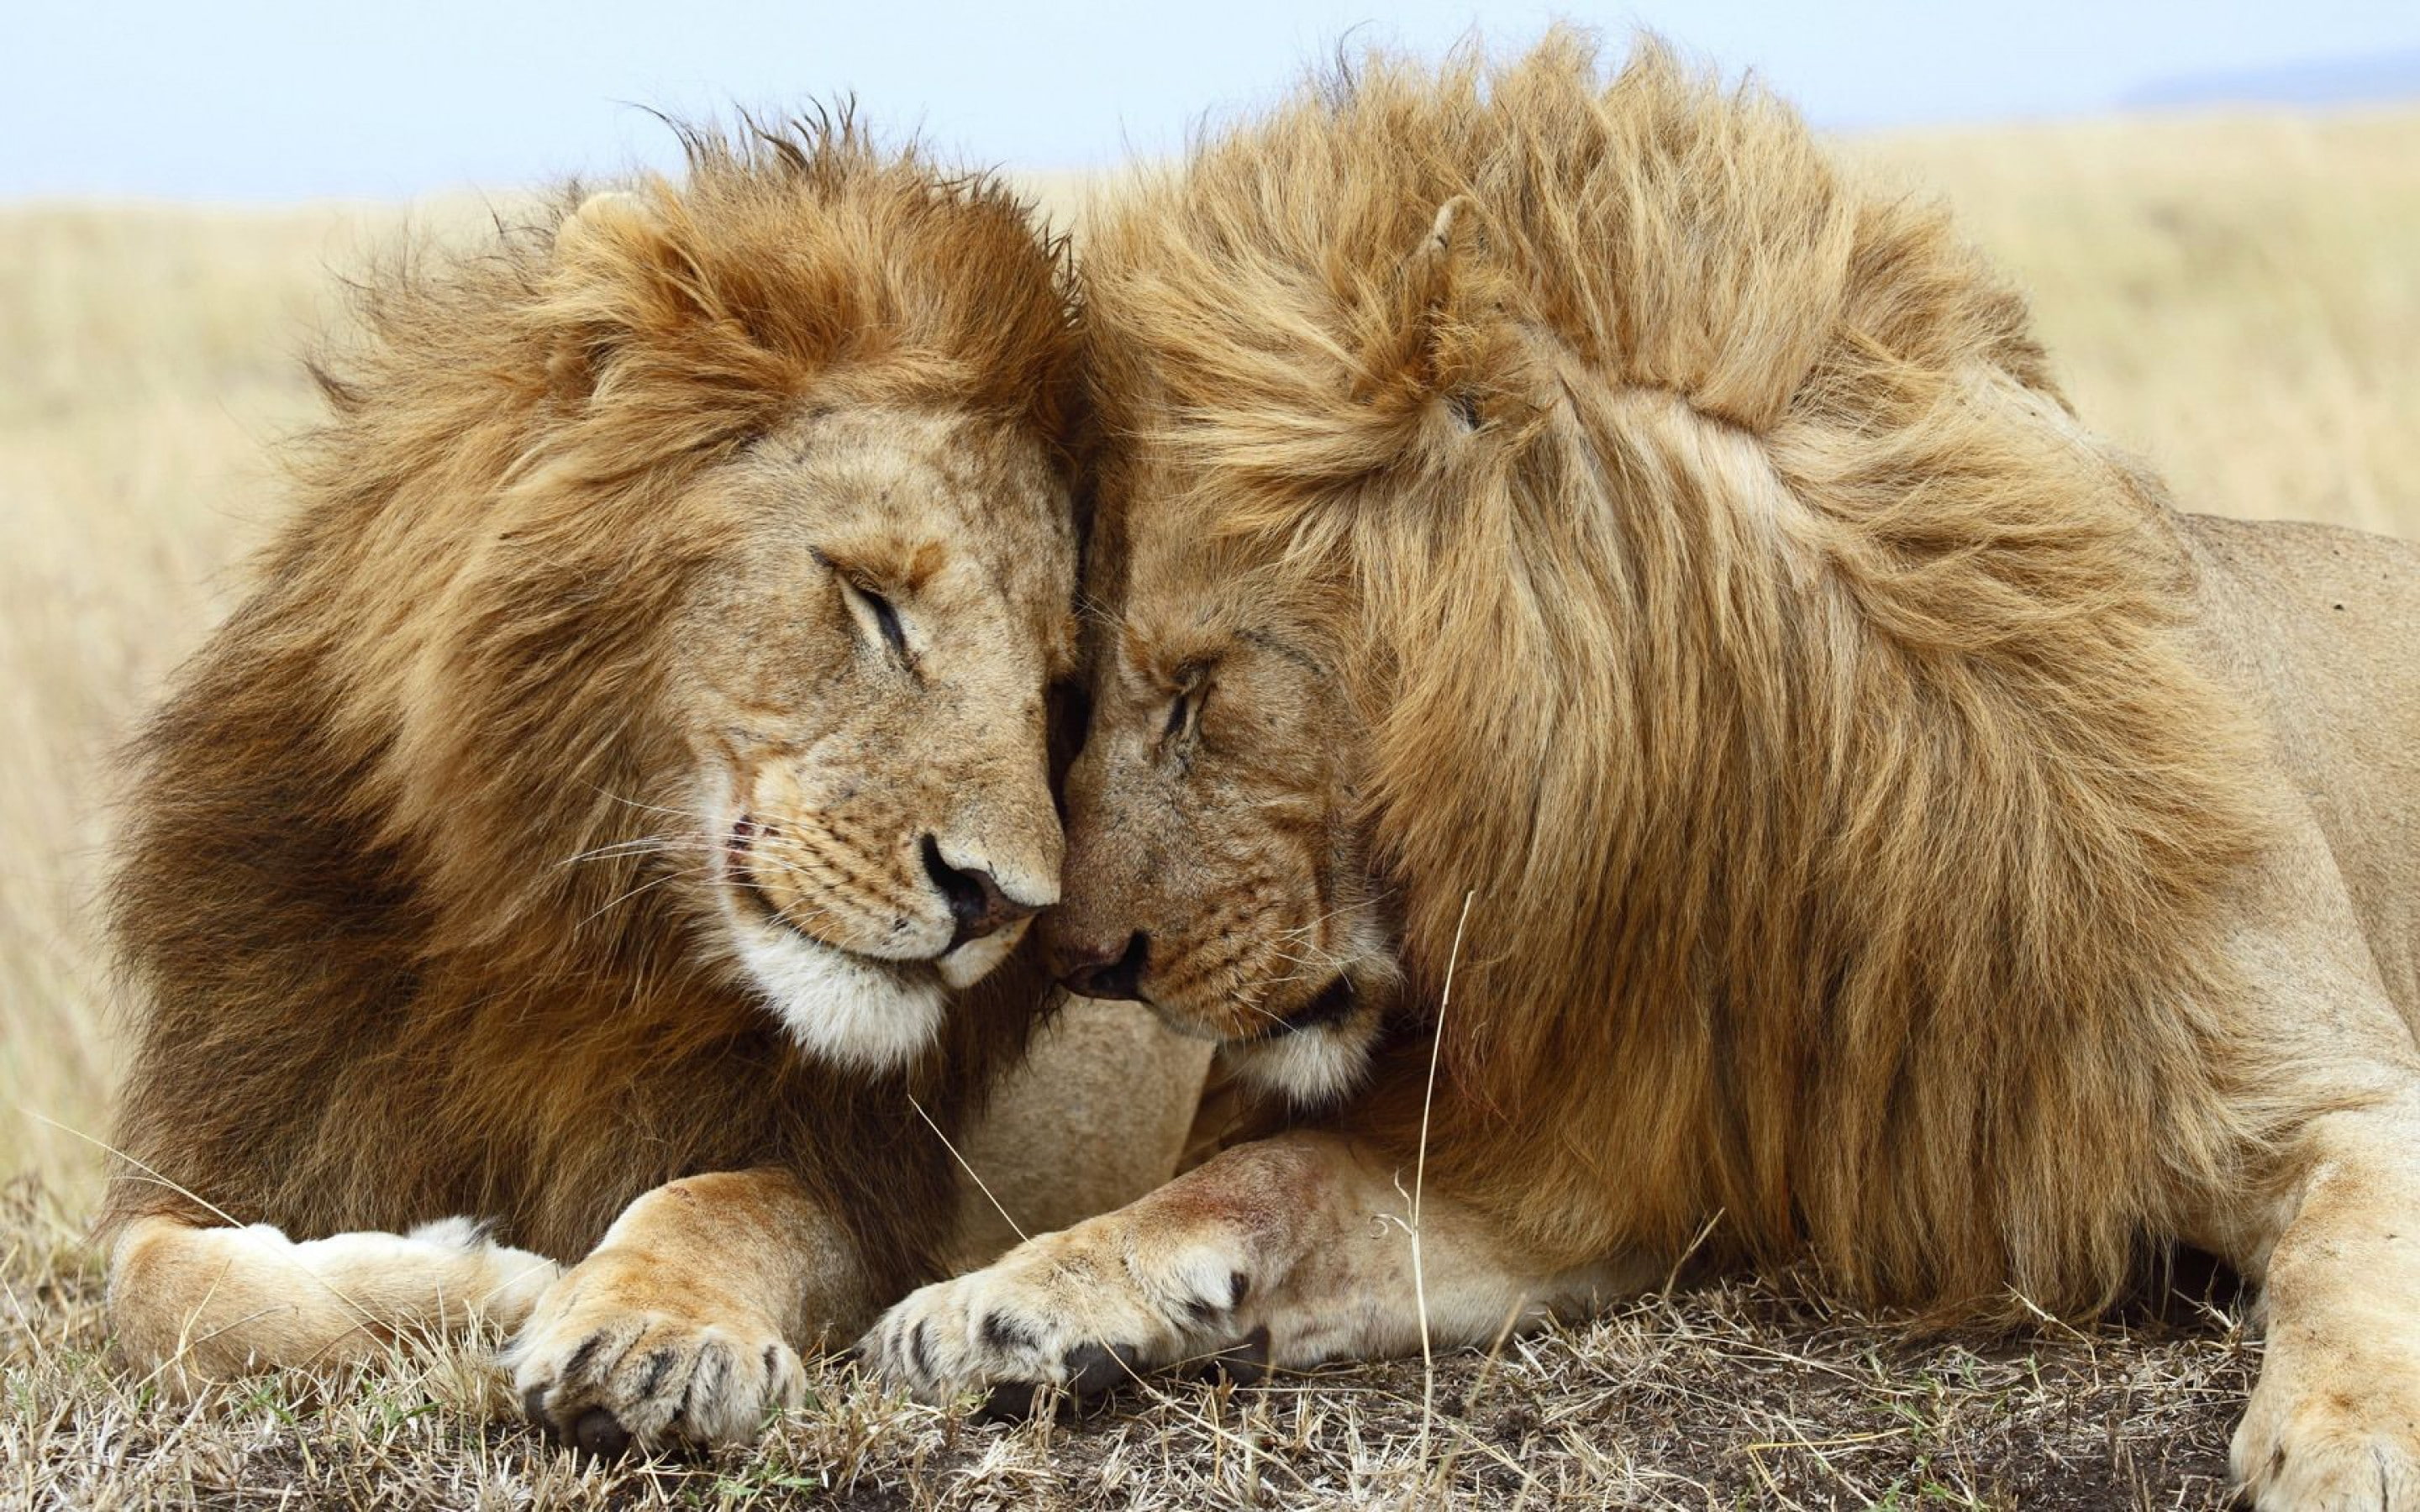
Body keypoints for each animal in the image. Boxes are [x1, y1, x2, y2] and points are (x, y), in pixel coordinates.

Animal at [98, 120, 1207, 1454]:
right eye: (874, 602)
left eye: (1054, 690)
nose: (1001, 901)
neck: (559, 934)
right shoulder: (237, 1130)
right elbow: (156, 1285)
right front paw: (478, 1280)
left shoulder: (867, 1189)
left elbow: (722, 1202)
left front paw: (644, 1331)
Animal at [865, 37, 2420, 1508]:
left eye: (1194, 687)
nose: (1079, 961)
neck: (1762, 801)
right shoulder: (1582, 1162)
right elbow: (1263, 1177)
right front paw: (997, 1304)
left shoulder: (2331, 1084)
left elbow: (2361, 1246)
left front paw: (2353, 1446)